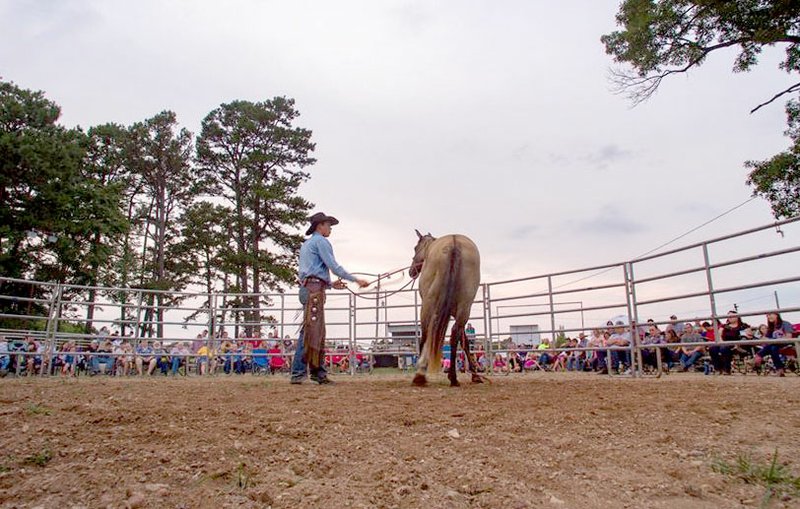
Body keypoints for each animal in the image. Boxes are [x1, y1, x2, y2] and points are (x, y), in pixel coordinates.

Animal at [410, 229, 484, 384]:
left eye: (415, 248)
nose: (411, 271)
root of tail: (454, 244)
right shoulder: (455, 314)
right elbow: (464, 341)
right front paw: (475, 374)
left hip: (428, 304)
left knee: (426, 333)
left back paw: (420, 374)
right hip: (464, 307)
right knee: (454, 334)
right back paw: (453, 377)